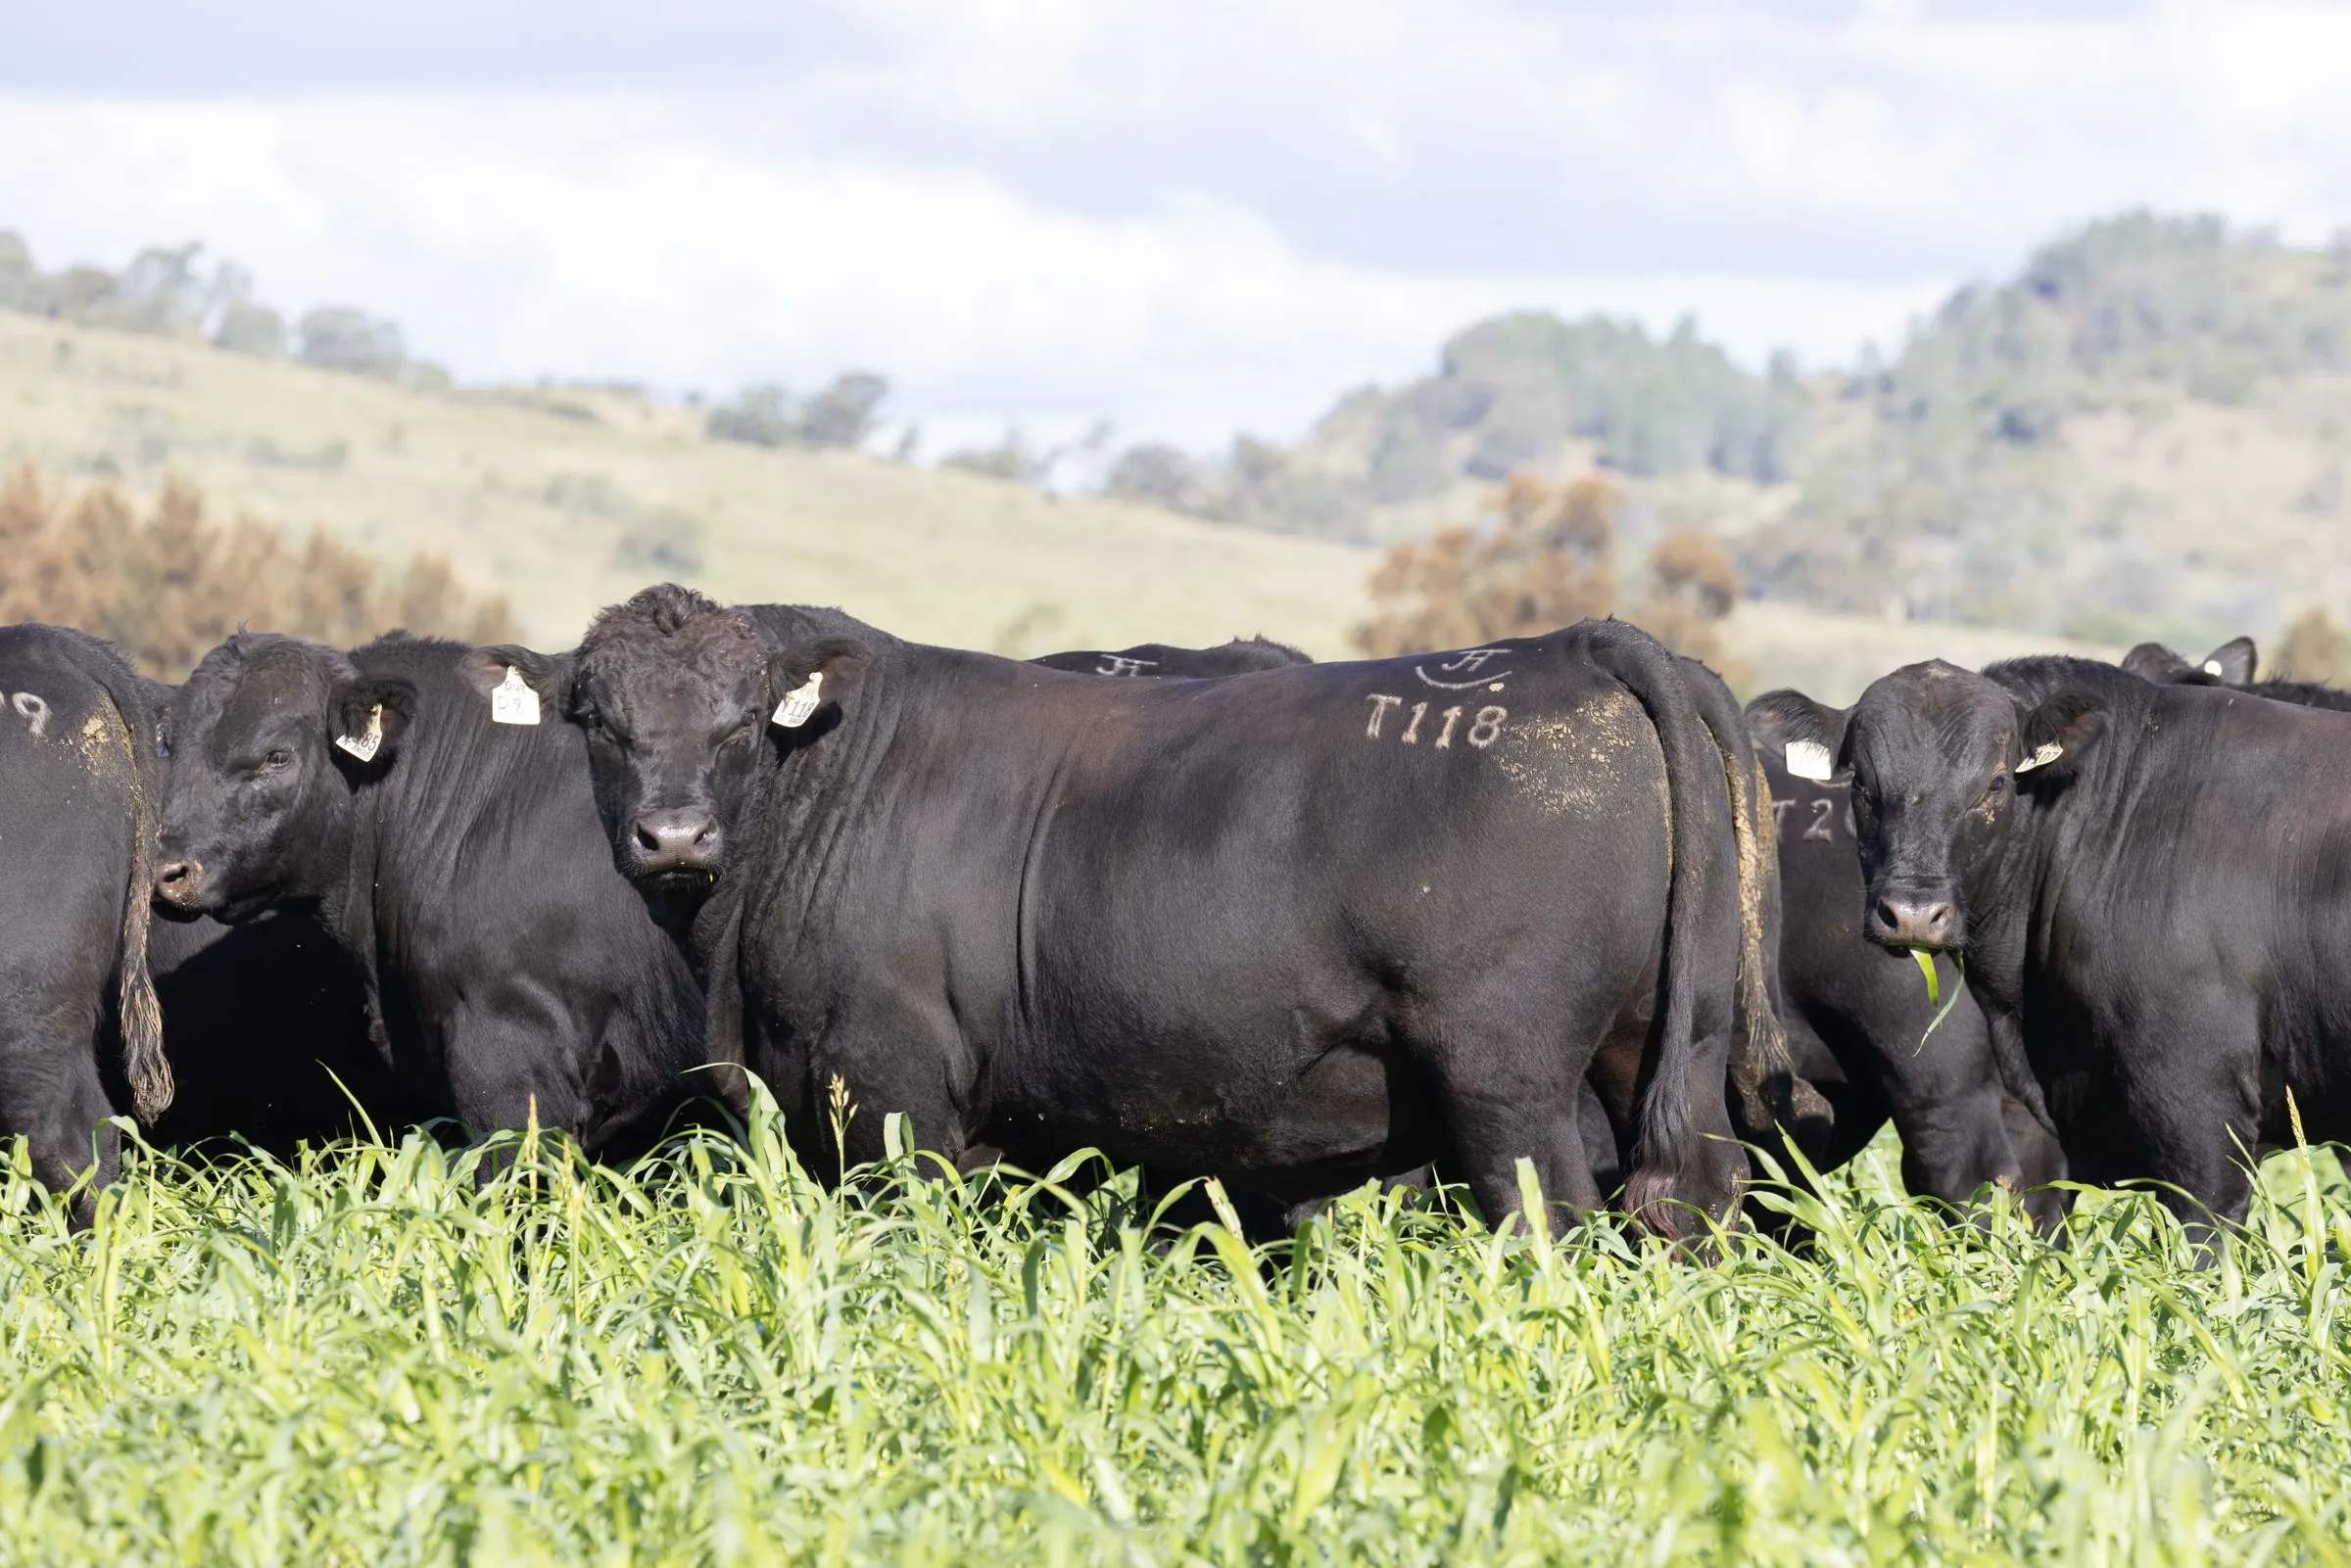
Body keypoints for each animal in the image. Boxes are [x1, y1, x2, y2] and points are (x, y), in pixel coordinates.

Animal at [559, 585, 1772, 1238]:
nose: (674, 836)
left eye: (741, 721)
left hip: (1505, 1073)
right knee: (1694, 1199)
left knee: (1549, 1220)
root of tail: (1576, 642)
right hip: (1670, 1042)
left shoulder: (892, 1092)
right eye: (598, 720)